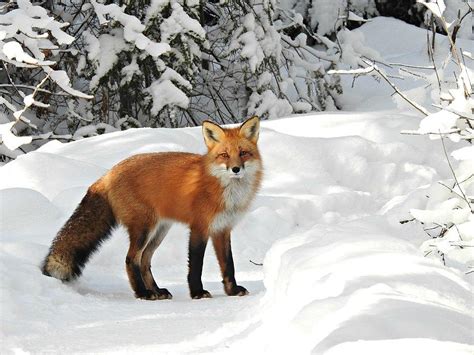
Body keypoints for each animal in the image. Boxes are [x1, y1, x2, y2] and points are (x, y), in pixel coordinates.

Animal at [40, 116, 262, 300]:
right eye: (224, 155)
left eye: (243, 153)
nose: (236, 169)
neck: (225, 191)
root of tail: (108, 174)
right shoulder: (199, 227)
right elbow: (196, 265)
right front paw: (197, 292)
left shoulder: (222, 229)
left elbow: (228, 265)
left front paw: (232, 291)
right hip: (143, 229)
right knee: (131, 260)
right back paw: (143, 293)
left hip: (159, 231)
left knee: (144, 261)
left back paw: (156, 290)